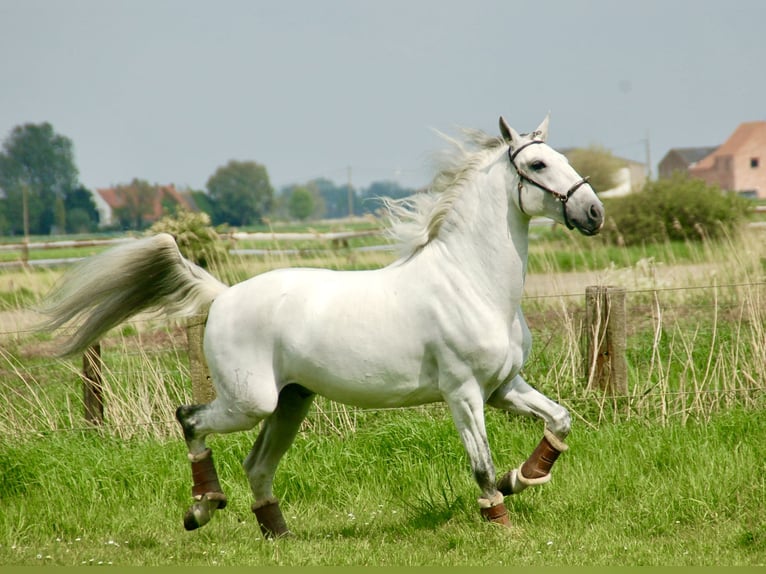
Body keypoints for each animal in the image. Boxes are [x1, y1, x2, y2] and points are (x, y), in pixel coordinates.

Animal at [40, 115, 608, 536]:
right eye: (538, 162)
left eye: (563, 158)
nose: (594, 212)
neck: (471, 282)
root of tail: (222, 296)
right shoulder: (464, 393)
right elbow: (481, 465)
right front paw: (500, 519)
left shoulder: (502, 386)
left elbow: (560, 420)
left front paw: (524, 477)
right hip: (251, 402)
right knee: (190, 419)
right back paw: (202, 507)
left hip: (291, 401)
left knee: (257, 465)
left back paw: (277, 532)